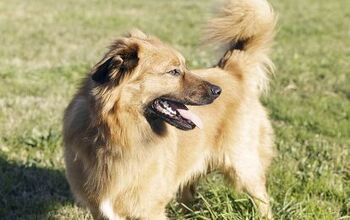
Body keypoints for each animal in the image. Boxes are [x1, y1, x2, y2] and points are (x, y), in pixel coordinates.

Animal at [63, 0, 276, 218]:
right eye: (174, 71)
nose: (218, 91)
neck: (116, 133)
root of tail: (232, 72)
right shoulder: (99, 209)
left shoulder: (149, 210)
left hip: (244, 166)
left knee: (263, 200)